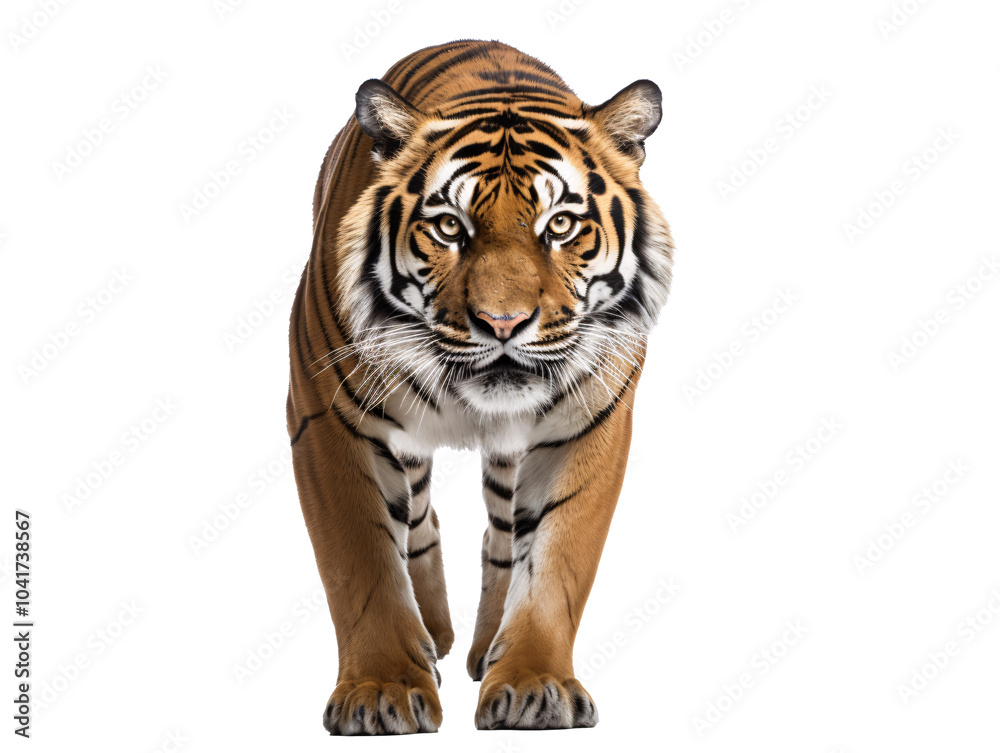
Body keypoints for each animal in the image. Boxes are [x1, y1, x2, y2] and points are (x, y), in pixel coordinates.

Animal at [287, 39, 673, 734]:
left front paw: (534, 685)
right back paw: (433, 640)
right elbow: (361, 561)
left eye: (561, 225)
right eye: (449, 228)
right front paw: (381, 690)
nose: (502, 322)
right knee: (417, 518)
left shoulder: (589, 420)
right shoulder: (324, 414)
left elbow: (555, 560)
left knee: (500, 535)